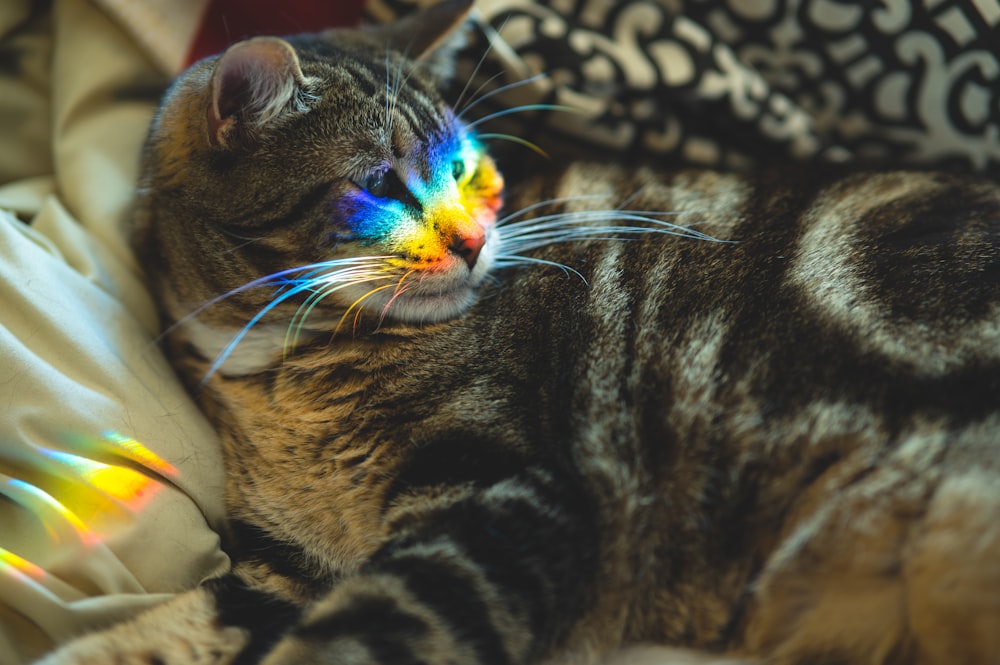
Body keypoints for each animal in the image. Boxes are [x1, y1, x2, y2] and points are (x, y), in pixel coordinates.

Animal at [37, 1, 1000, 664]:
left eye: (465, 169)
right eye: (381, 186)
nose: (474, 241)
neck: (280, 368)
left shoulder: (507, 495)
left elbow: (364, 629)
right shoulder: (282, 569)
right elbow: (169, 628)